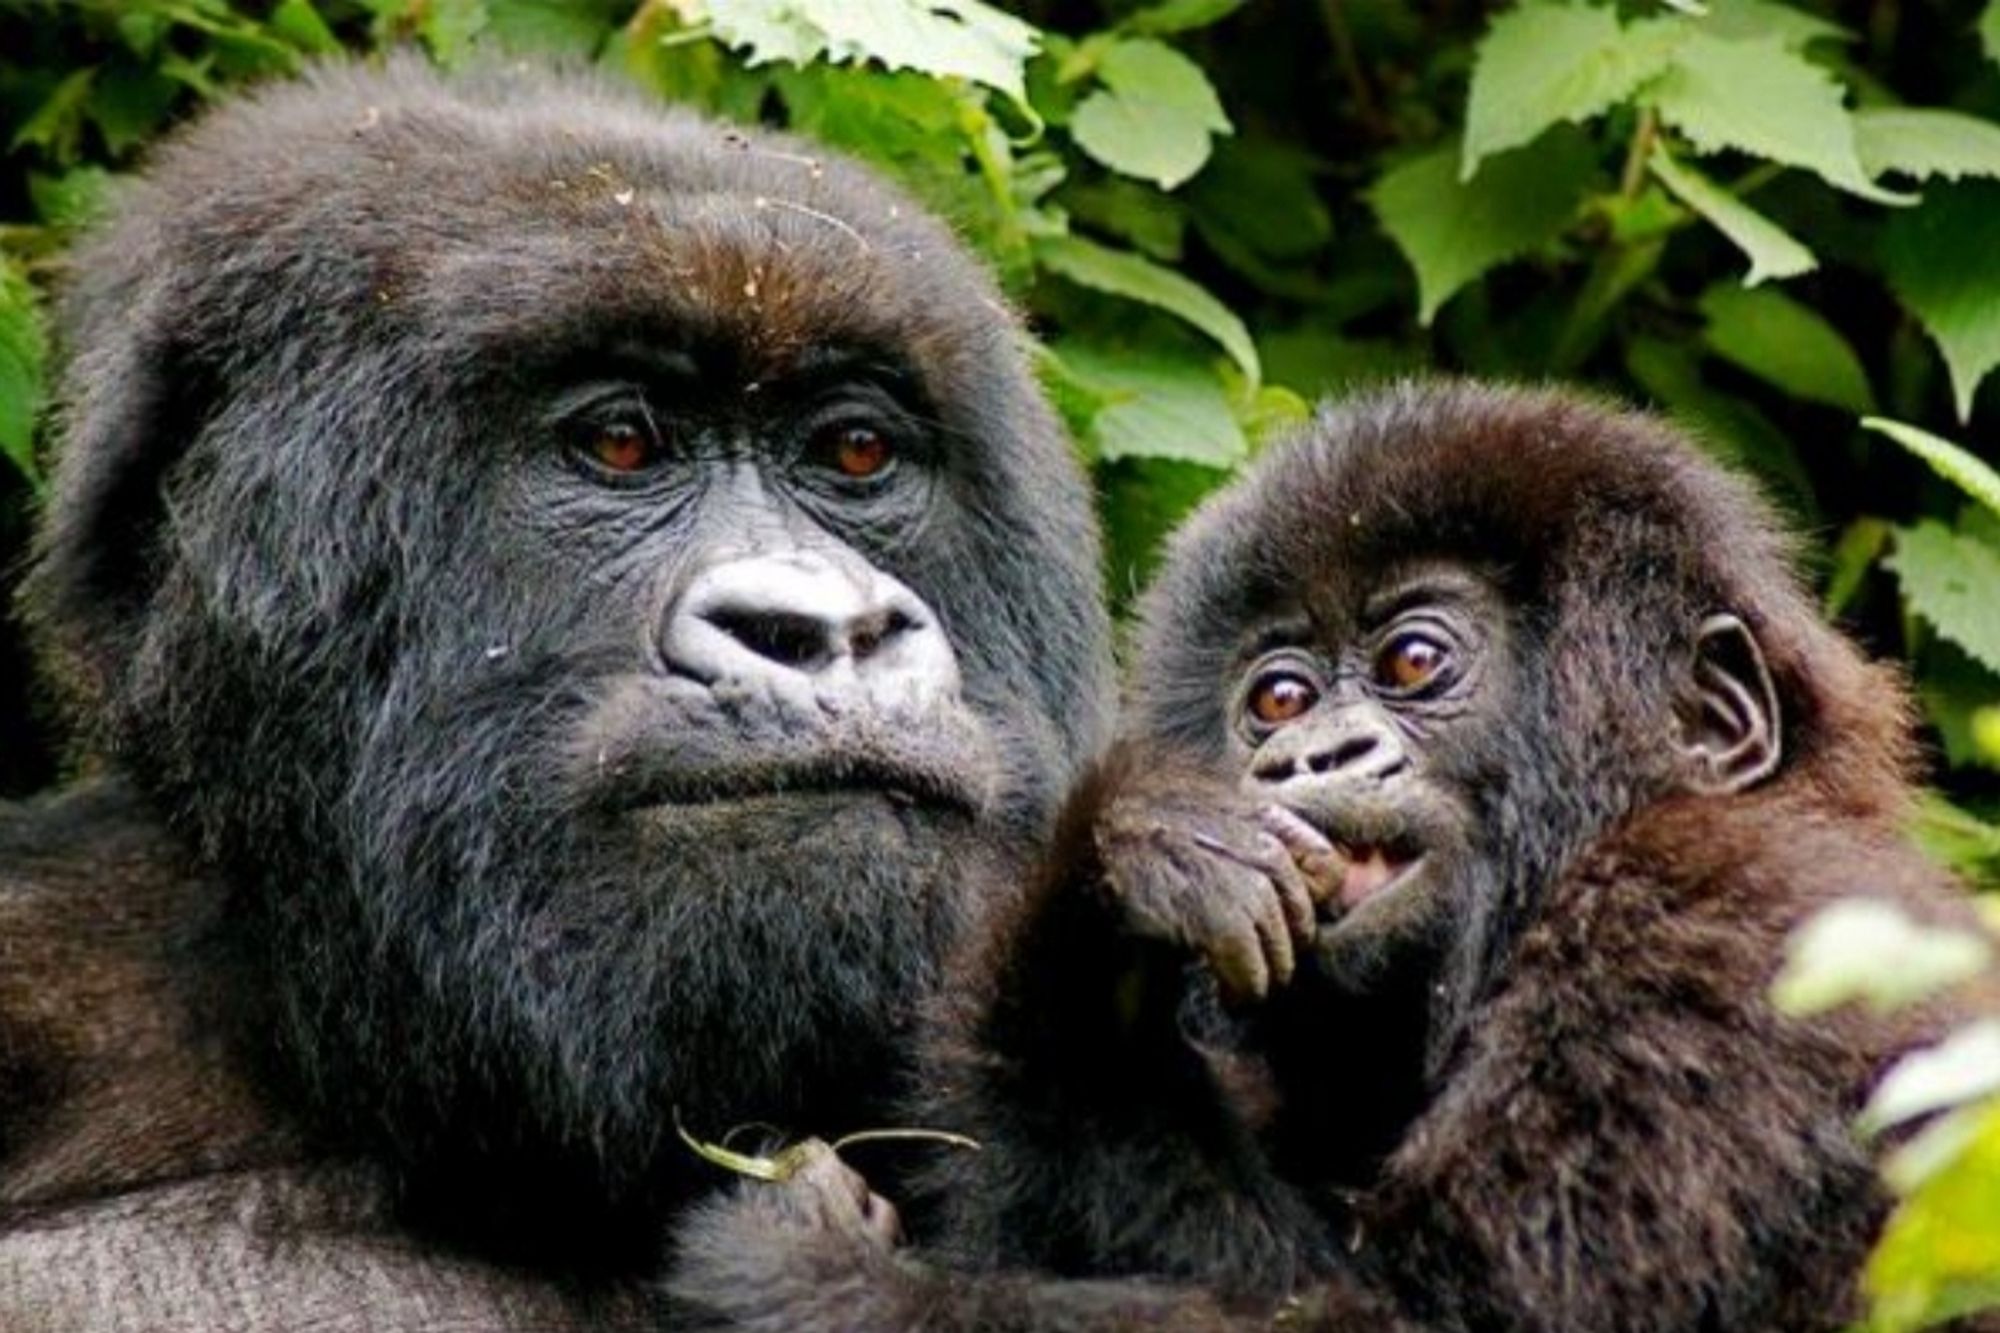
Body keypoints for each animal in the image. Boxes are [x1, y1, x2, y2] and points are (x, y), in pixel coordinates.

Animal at [680, 376, 1992, 1328]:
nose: (1307, 756)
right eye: (1277, 696)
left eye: (1413, 662)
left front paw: (800, 1263)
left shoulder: (1704, 938)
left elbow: (1394, 1316)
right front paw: (1115, 893)